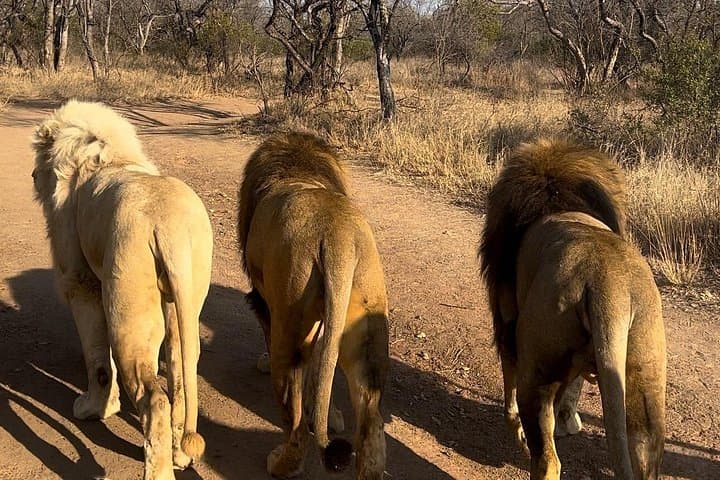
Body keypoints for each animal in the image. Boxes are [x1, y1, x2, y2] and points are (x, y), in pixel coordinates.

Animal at [31, 100, 213, 480]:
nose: (32, 176)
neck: (104, 156)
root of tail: (169, 224)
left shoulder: (81, 282)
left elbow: (98, 359)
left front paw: (94, 409)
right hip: (184, 298)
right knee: (180, 377)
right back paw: (179, 454)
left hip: (131, 308)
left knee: (154, 398)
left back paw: (160, 471)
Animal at [238, 132, 389, 479]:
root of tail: (337, 238)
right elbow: (322, 372)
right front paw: (330, 414)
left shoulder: (263, 302)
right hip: (367, 331)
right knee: (371, 424)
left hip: (289, 328)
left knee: (296, 429)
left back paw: (280, 464)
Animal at [479, 139, 666, 479]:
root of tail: (608, 285)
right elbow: (575, 386)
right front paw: (568, 419)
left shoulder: (506, 317)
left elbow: (508, 380)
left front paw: (519, 428)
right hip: (645, 366)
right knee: (645, 447)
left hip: (537, 369)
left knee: (547, 459)